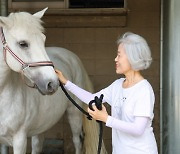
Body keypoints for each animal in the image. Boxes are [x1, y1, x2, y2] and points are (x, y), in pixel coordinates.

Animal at [0, 8, 93, 154]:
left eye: (43, 40)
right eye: (23, 44)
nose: (52, 83)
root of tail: (73, 57)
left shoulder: (20, 140)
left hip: (74, 113)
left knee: (77, 141)